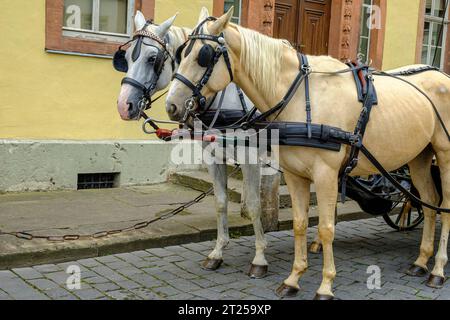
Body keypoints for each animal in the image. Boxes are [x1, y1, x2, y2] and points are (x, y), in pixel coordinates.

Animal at [115, 10, 278, 278]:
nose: (123, 105)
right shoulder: (213, 156)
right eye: (126, 58)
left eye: (152, 59)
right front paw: (217, 252)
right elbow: (220, 202)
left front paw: (260, 258)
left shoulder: (251, 158)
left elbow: (254, 206)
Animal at [166, 8, 450, 300]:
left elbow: (325, 227)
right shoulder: (294, 174)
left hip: (444, 155)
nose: (172, 105)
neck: (298, 96)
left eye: (204, 55)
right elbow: (300, 223)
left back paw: (437, 269)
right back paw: (420, 262)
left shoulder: (323, 173)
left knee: (445, 209)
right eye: (181, 53)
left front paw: (324, 285)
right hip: (419, 157)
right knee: (430, 203)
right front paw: (293, 279)